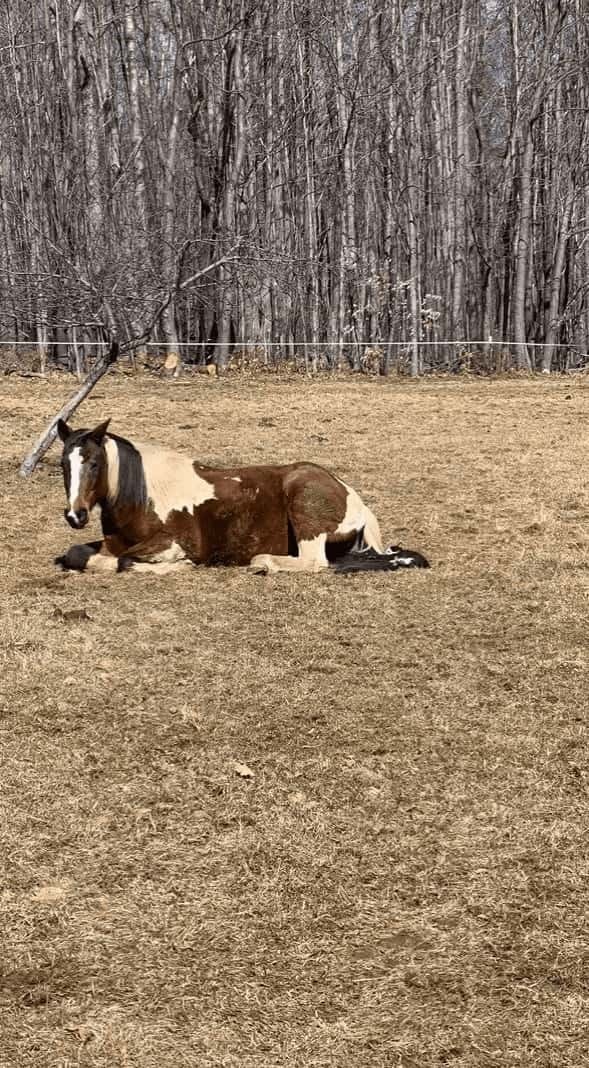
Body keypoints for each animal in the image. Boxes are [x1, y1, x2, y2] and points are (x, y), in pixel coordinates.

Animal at [55, 420, 431, 580]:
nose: (75, 515)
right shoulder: (111, 543)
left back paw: (264, 564)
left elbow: (126, 561)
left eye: (94, 462)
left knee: (313, 563)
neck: (142, 494)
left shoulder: (173, 541)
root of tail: (353, 498)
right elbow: (80, 554)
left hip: (305, 515)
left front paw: (182, 565)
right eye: (63, 463)